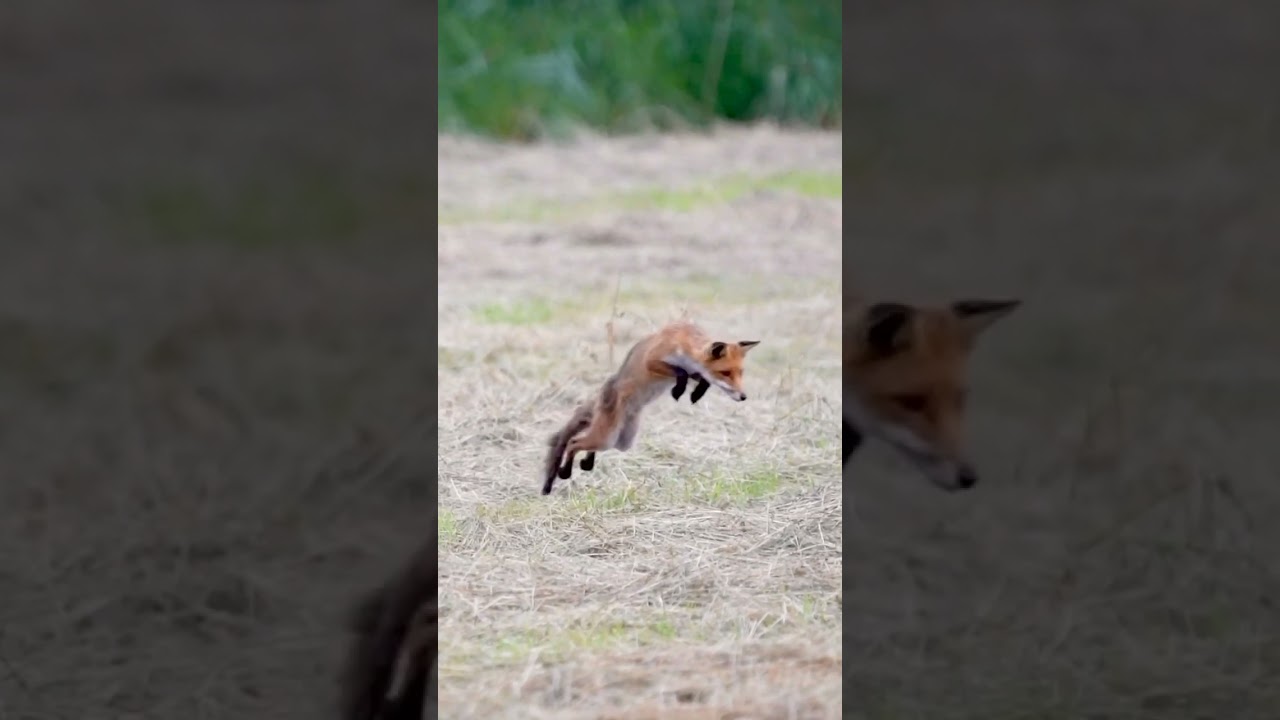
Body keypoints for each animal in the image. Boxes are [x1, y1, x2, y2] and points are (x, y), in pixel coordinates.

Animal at [542, 321, 761, 495]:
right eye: (725, 372)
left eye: (740, 372)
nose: (743, 397)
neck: (685, 343)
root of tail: (602, 394)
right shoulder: (653, 360)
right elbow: (680, 372)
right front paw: (679, 391)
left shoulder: (694, 372)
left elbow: (700, 379)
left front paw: (696, 393)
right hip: (606, 437)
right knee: (573, 442)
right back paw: (565, 471)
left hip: (621, 440)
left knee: (585, 443)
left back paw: (586, 463)